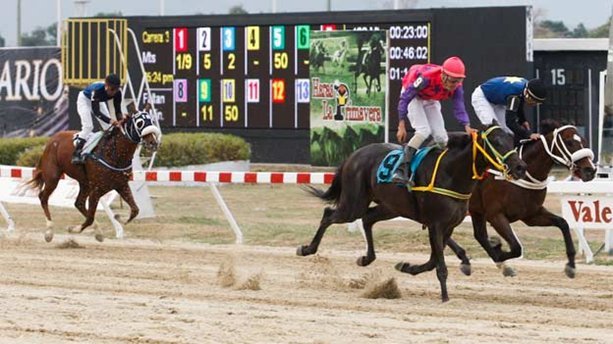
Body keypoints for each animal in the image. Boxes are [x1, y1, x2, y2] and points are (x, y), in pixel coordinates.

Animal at [26, 112, 160, 242]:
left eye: (152, 120)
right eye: (139, 123)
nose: (153, 143)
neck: (114, 154)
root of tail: (52, 139)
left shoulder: (121, 185)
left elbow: (135, 210)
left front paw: (118, 217)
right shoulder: (96, 189)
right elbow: (90, 217)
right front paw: (74, 229)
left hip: (84, 183)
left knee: (79, 203)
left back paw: (98, 232)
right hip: (52, 177)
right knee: (43, 197)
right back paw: (49, 231)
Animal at [298, 123, 524, 300]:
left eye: (512, 139)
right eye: (496, 141)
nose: (520, 167)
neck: (451, 173)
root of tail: (353, 155)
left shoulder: (447, 226)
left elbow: (433, 261)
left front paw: (407, 267)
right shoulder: (436, 224)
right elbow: (439, 264)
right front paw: (445, 296)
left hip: (390, 206)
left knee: (367, 218)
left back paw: (366, 258)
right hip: (354, 204)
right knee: (329, 215)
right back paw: (307, 249)